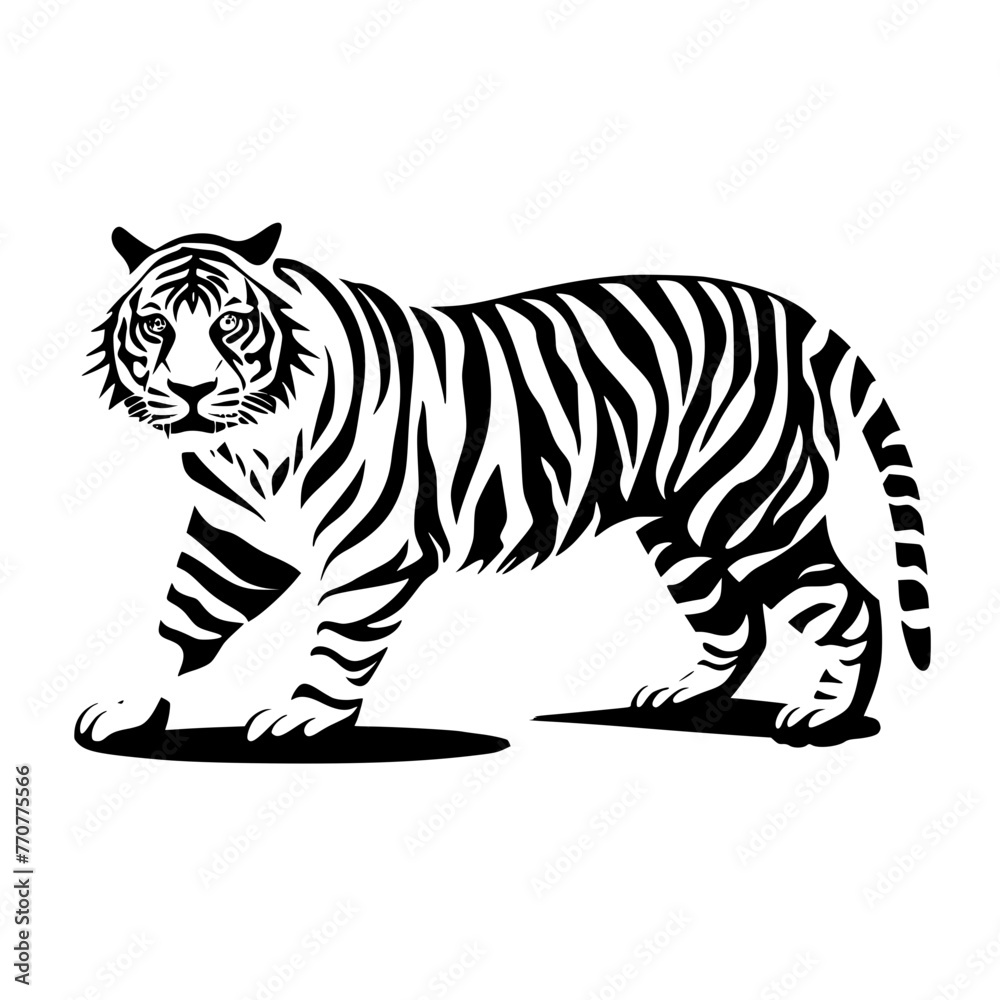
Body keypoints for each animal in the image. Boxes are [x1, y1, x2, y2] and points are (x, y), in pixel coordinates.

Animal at [78, 223, 930, 749]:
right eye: (155, 325)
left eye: (229, 325)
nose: (190, 392)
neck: (247, 446)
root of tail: (789, 313)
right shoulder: (236, 537)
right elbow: (181, 621)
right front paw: (129, 707)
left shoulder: (372, 552)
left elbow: (340, 644)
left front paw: (300, 718)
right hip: (677, 526)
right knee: (734, 619)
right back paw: (682, 693)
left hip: (750, 511)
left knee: (853, 604)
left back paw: (822, 712)